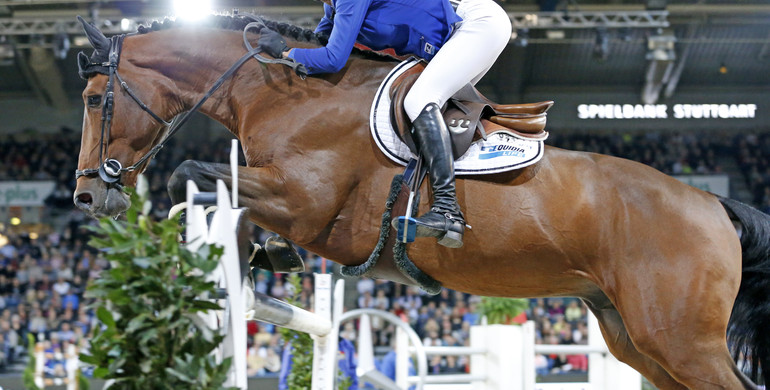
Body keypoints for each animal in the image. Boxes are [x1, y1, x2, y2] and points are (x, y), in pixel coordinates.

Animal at [73, 14, 768, 386]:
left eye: (93, 99)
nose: (86, 194)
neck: (281, 93)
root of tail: (715, 205)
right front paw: (265, 254)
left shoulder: (308, 203)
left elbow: (189, 172)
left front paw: (260, 252)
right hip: (635, 337)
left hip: (681, 340)